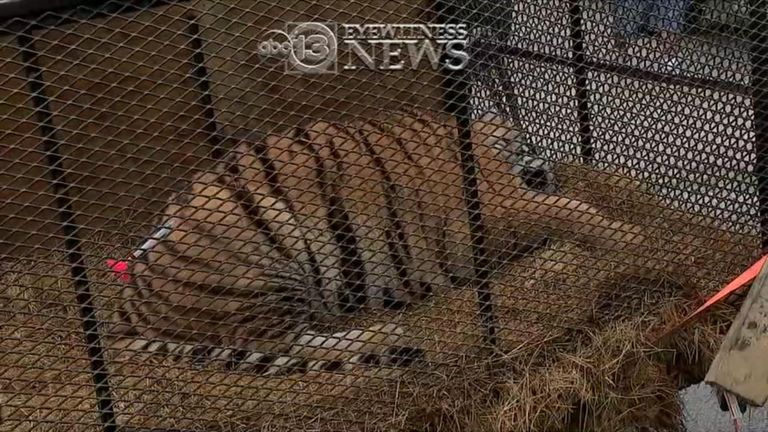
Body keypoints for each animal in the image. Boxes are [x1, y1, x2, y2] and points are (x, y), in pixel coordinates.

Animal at [105, 108, 644, 374]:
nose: (547, 169)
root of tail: (125, 307)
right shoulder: (498, 204)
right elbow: (570, 211)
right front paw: (635, 237)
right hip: (264, 249)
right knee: (281, 341)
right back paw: (387, 334)